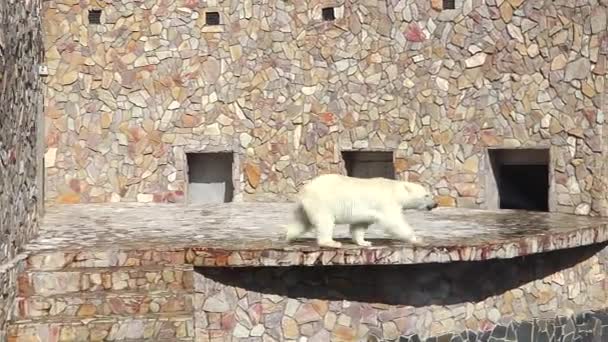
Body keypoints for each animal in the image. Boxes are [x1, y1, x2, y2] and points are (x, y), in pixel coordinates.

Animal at [284, 174, 436, 248]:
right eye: (426, 195)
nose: (435, 204)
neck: (395, 190)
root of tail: (304, 191)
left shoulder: (365, 211)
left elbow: (359, 226)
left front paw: (365, 242)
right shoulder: (386, 203)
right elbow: (394, 222)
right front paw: (417, 239)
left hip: (305, 207)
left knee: (300, 222)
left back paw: (290, 236)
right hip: (322, 203)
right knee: (325, 222)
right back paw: (331, 243)